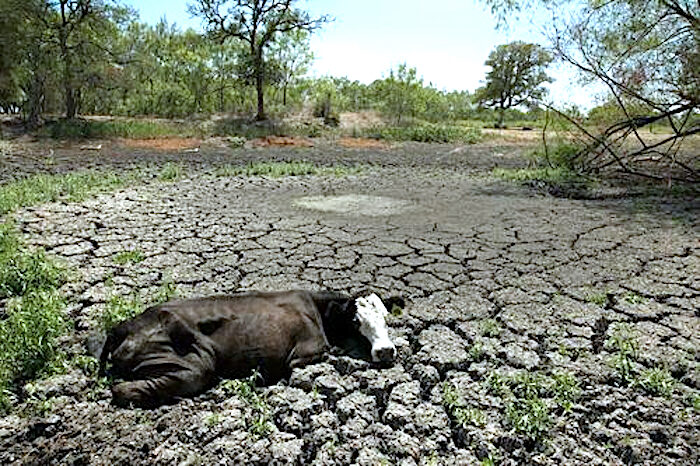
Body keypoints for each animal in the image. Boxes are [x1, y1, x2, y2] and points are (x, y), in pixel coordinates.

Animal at [94, 290, 404, 408]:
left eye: (386, 316)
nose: (386, 351)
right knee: (122, 389)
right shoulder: (303, 352)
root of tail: (122, 327)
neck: (317, 308)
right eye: (356, 321)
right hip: (190, 363)